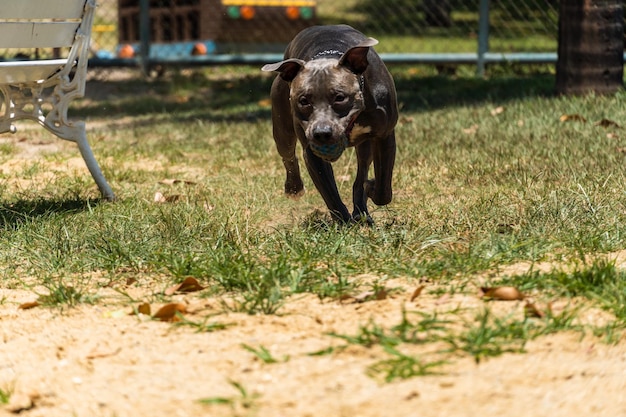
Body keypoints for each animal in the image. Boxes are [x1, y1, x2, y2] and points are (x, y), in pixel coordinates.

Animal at [260, 24, 398, 223]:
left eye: (340, 97)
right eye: (304, 100)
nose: (322, 133)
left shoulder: (384, 136)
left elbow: (383, 187)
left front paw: (371, 188)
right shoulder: (312, 152)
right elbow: (329, 193)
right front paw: (344, 224)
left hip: (366, 145)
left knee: (362, 171)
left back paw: (361, 211)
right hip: (282, 129)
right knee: (288, 156)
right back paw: (294, 188)